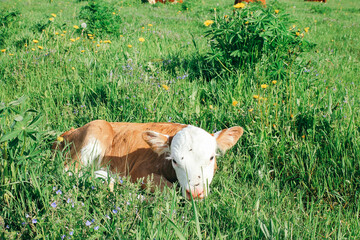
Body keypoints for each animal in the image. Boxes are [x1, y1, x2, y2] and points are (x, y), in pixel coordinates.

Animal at [54, 120, 245, 199]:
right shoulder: (139, 171)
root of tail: (67, 132)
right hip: (95, 132)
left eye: (211, 157)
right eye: (175, 161)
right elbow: (170, 192)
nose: (196, 193)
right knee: (68, 172)